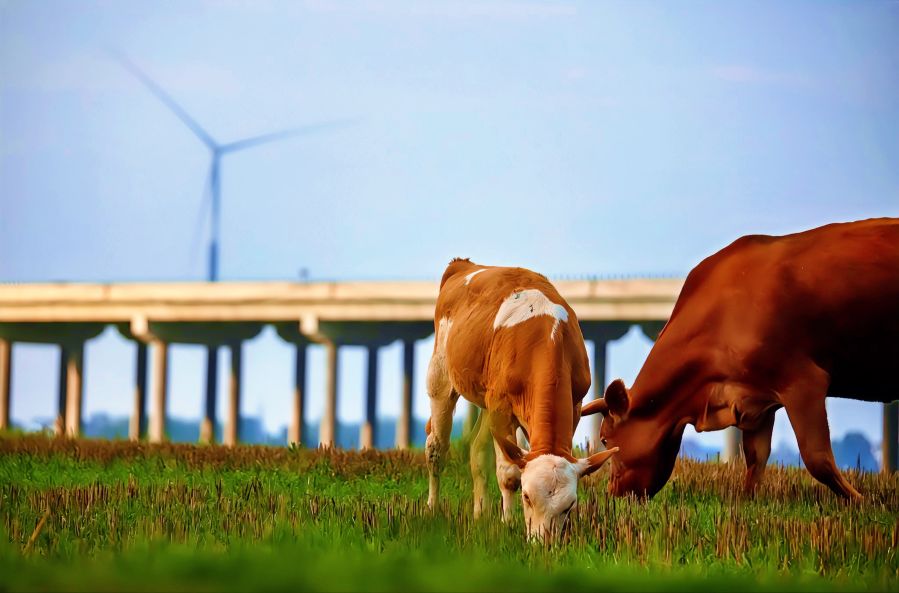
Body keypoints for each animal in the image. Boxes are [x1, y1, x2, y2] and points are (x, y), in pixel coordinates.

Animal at [426, 256, 616, 540]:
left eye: (569, 505)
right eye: (527, 497)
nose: (543, 543)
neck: (547, 339)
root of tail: (464, 264)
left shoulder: (574, 406)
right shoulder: (502, 409)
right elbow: (509, 474)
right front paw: (507, 524)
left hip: (487, 402)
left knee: (477, 449)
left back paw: (480, 515)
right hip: (441, 378)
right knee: (436, 448)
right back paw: (432, 510)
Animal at [584, 217, 899, 500]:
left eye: (605, 439)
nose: (613, 494)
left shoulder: (802, 380)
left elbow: (817, 458)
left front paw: (862, 502)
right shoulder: (756, 399)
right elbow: (755, 458)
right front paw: (747, 500)